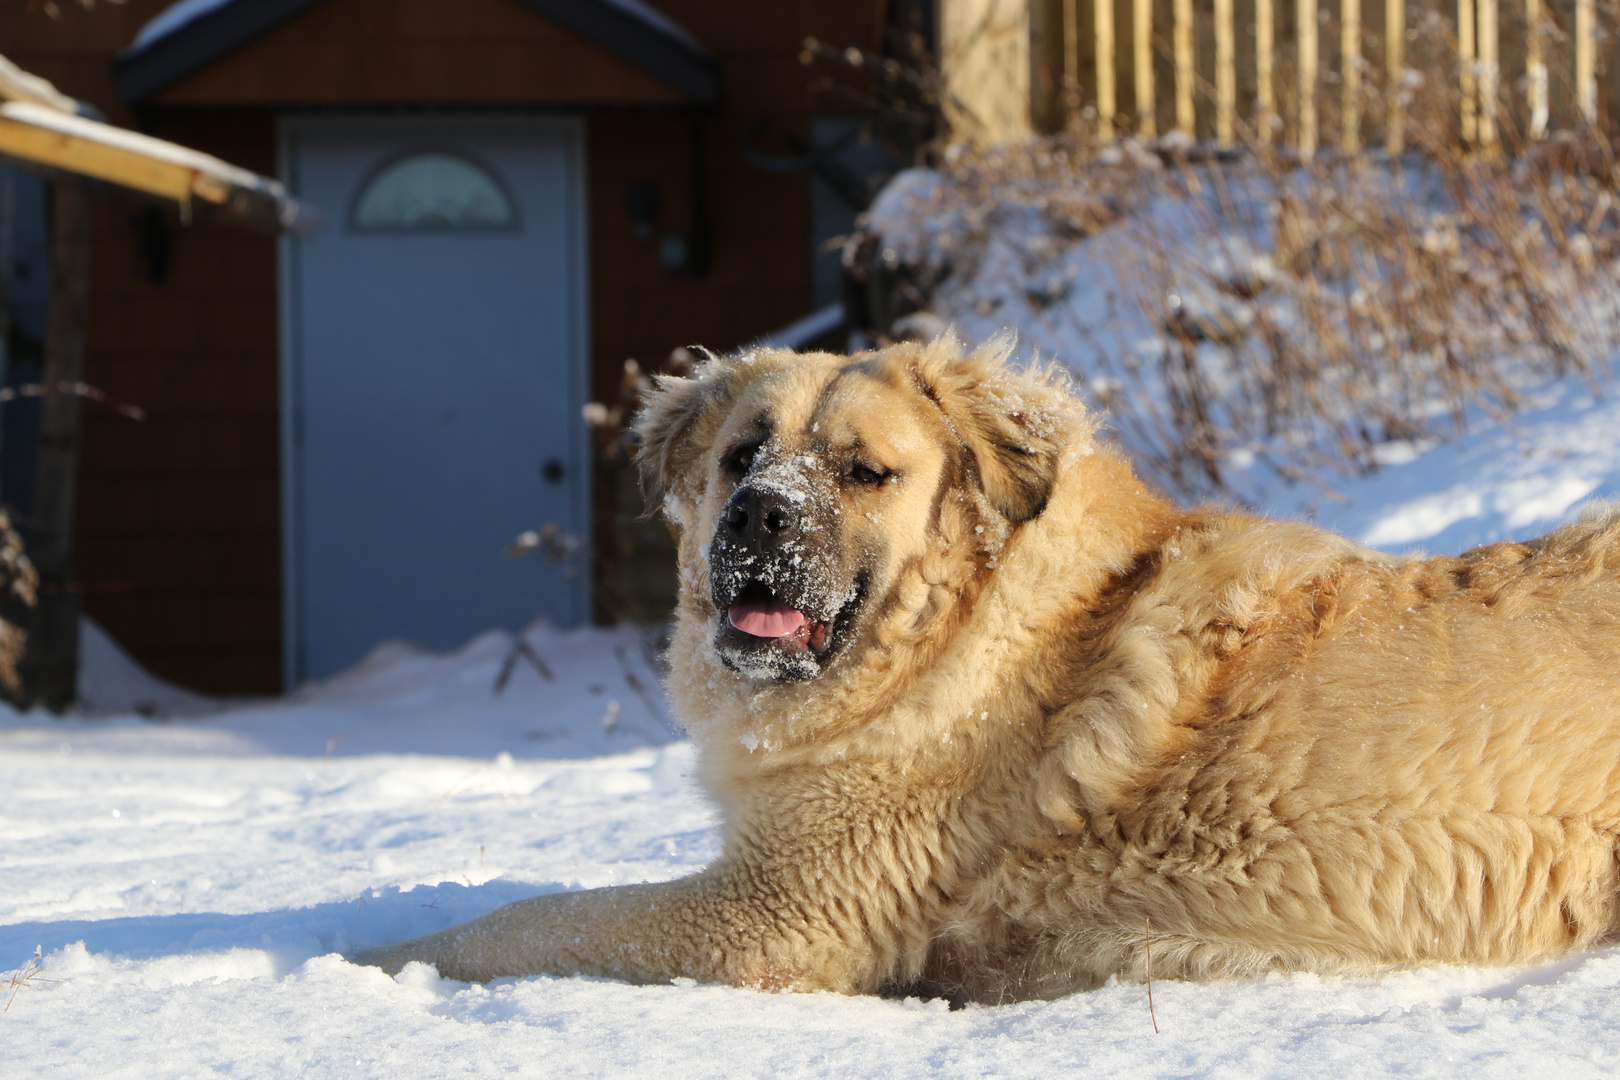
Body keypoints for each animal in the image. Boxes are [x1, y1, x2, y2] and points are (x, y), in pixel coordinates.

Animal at [361, 333, 1620, 1003]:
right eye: (741, 457)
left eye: (862, 472)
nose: (759, 519)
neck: (948, 633)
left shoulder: (776, 910)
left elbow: (530, 919)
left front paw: (371, 960)